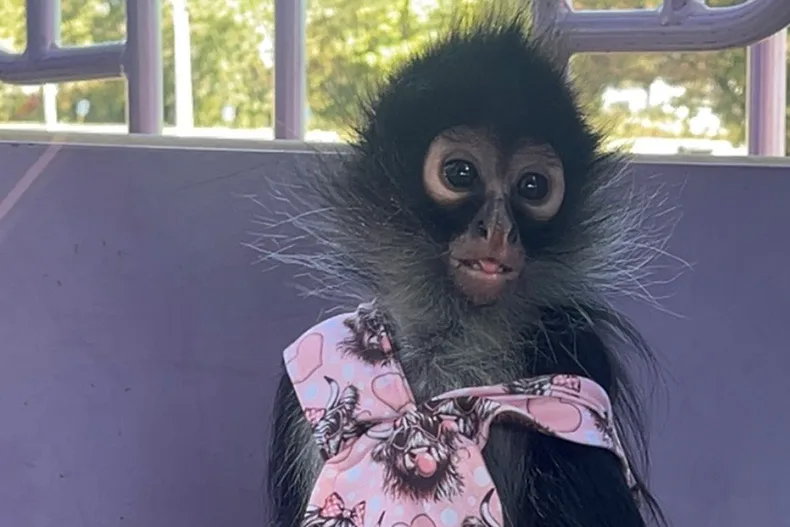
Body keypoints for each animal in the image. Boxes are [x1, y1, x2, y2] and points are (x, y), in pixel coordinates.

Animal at [263, 8, 669, 527]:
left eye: (534, 186)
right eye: (459, 174)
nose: (498, 230)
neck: (450, 339)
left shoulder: (575, 358)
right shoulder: (300, 392)